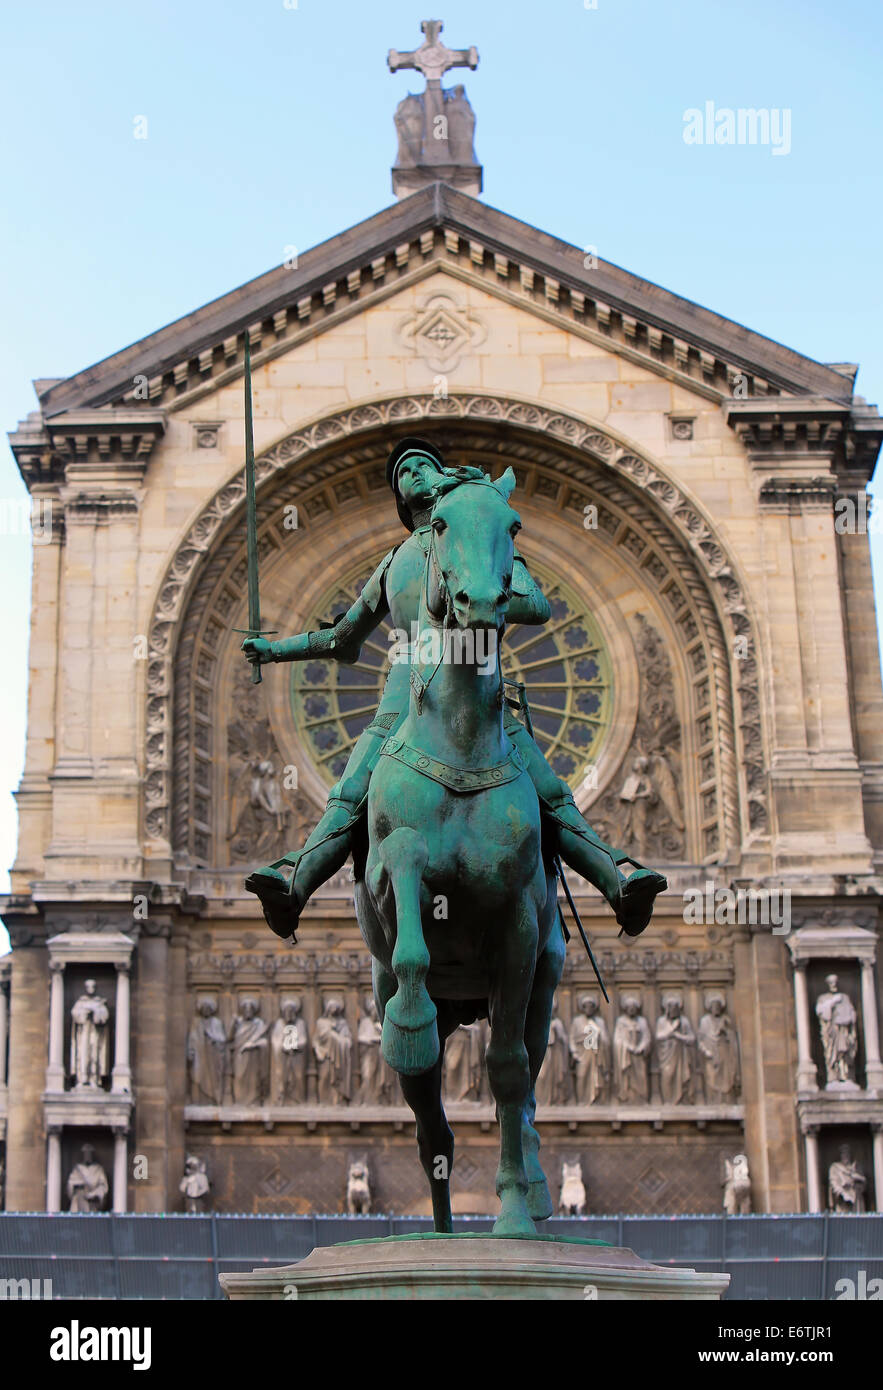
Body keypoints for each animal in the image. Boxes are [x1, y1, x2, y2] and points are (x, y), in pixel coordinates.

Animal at [350, 469, 561, 1239]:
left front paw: (515, 1213)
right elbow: (412, 930)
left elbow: (506, 1072)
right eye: (439, 523)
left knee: (524, 1081)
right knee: (428, 1117)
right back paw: (439, 1223)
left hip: (541, 984)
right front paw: (408, 1033)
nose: (481, 604)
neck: (464, 735)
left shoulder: (519, 929)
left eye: (515, 524)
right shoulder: (395, 872)